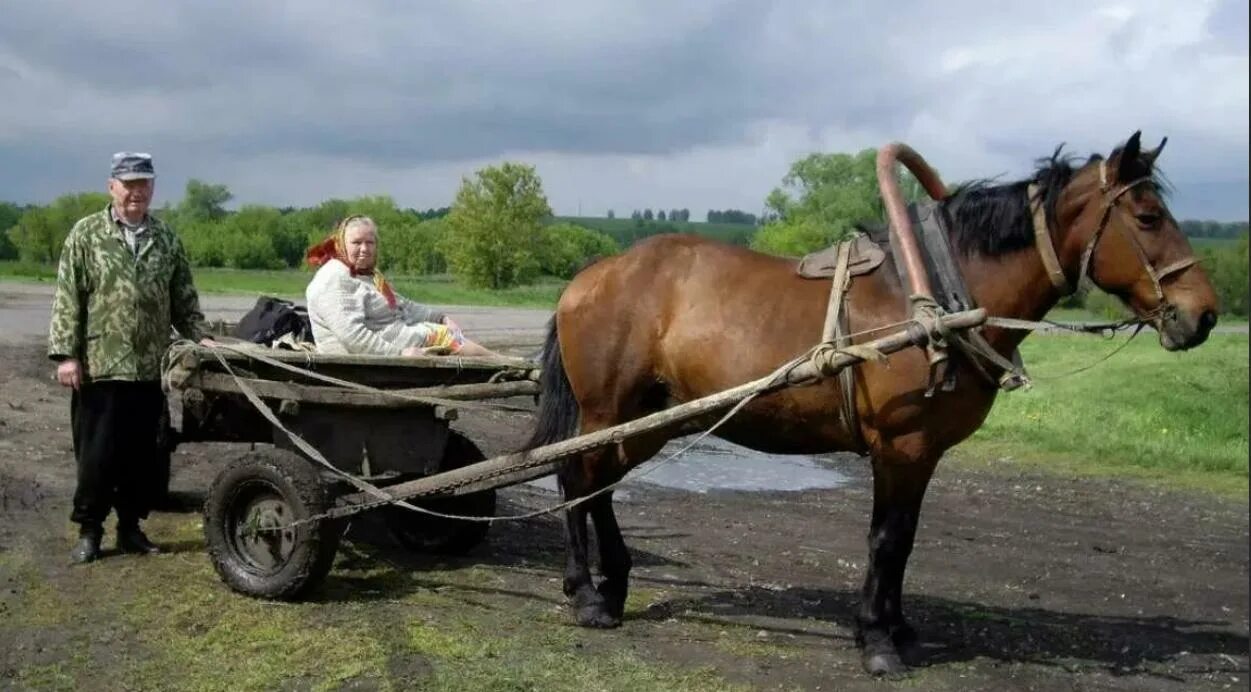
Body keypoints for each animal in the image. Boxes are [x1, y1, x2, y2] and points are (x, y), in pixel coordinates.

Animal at [522, 130, 1215, 675]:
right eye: (1148, 218)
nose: (1204, 314)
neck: (936, 294)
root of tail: (591, 275)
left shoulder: (925, 454)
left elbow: (904, 539)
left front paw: (899, 629)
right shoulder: (900, 447)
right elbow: (885, 539)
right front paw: (878, 640)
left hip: (648, 418)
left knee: (600, 486)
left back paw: (614, 585)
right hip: (607, 411)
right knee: (577, 479)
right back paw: (587, 594)